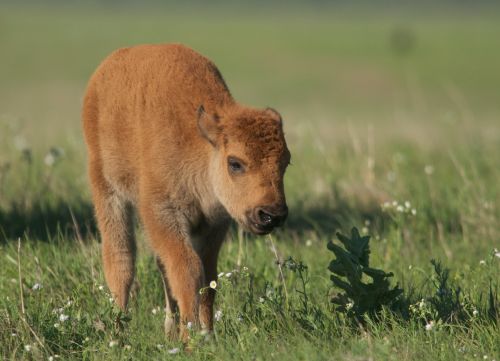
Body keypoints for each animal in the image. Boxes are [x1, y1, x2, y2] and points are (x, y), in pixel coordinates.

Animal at [83, 43, 290, 338]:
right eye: (235, 163)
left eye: (286, 162)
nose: (271, 214)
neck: (201, 144)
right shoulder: (162, 213)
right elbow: (188, 271)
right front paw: (190, 337)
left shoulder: (214, 224)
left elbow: (208, 278)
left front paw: (207, 333)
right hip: (107, 189)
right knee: (120, 260)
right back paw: (118, 332)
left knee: (158, 265)